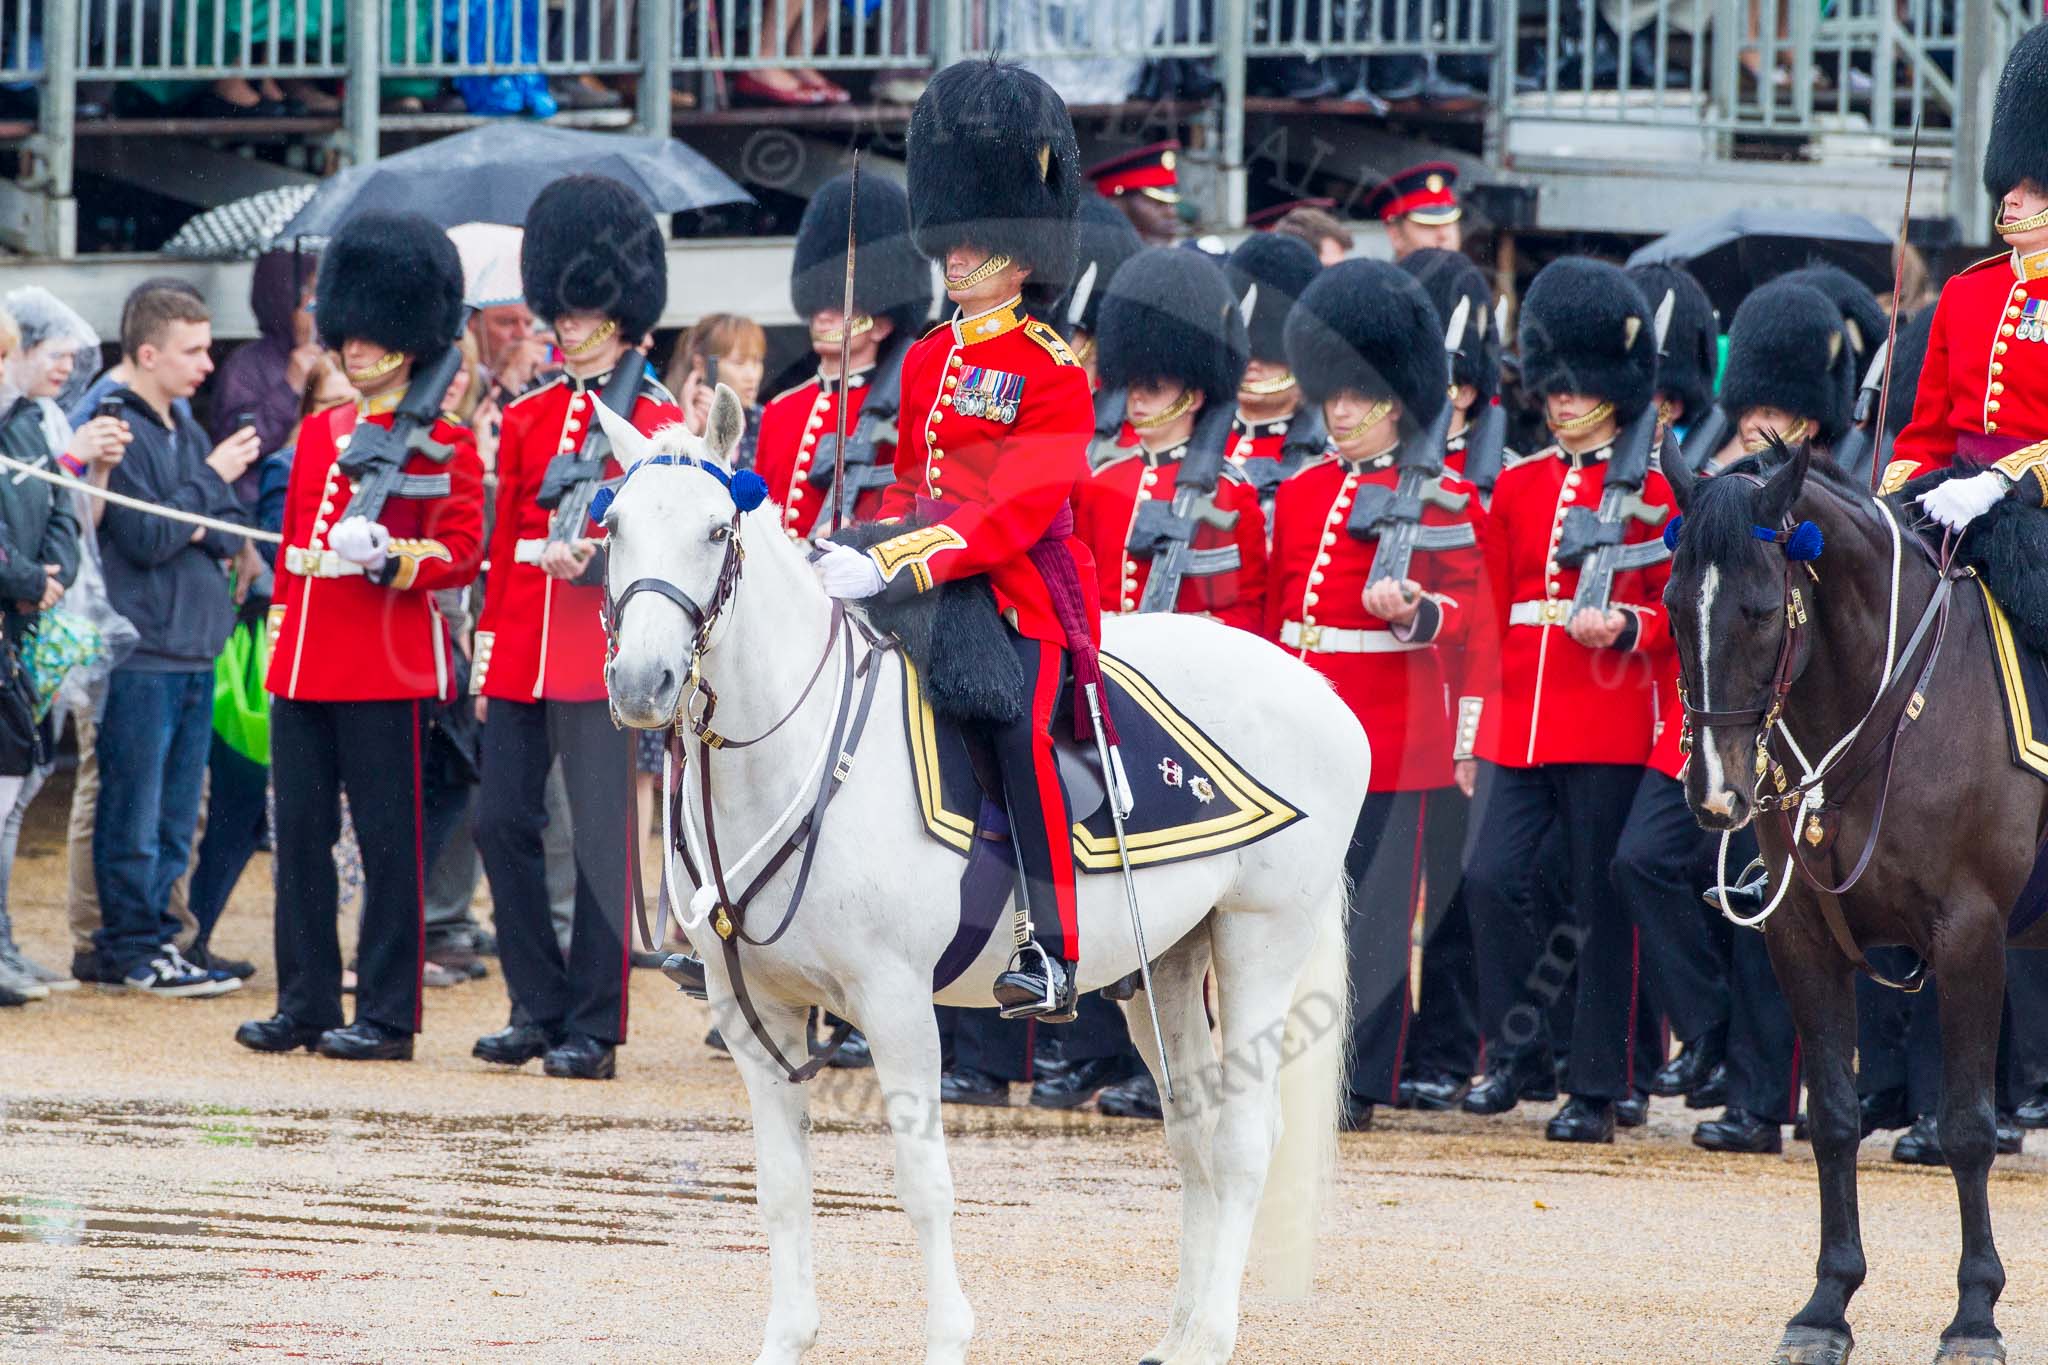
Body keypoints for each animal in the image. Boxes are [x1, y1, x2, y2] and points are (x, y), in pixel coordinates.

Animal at [593, 387, 1369, 1365]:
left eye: (714, 529)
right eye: (616, 525)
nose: (642, 683)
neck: (797, 750)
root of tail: (1320, 686)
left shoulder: (894, 1001)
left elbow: (922, 1181)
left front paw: (946, 1337)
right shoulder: (750, 1010)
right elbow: (781, 1186)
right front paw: (789, 1337)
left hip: (1261, 937)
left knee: (1243, 1141)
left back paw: (1210, 1337)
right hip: (1167, 964)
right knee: (1192, 1127)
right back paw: (1179, 1328)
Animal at [1663, 439, 2048, 1365]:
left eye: (1760, 608)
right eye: (1670, 608)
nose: (1716, 793)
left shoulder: (1971, 934)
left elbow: (1967, 1125)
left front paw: (1975, 1315)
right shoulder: (1800, 934)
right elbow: (1834, 1114)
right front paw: (1826, 1303)